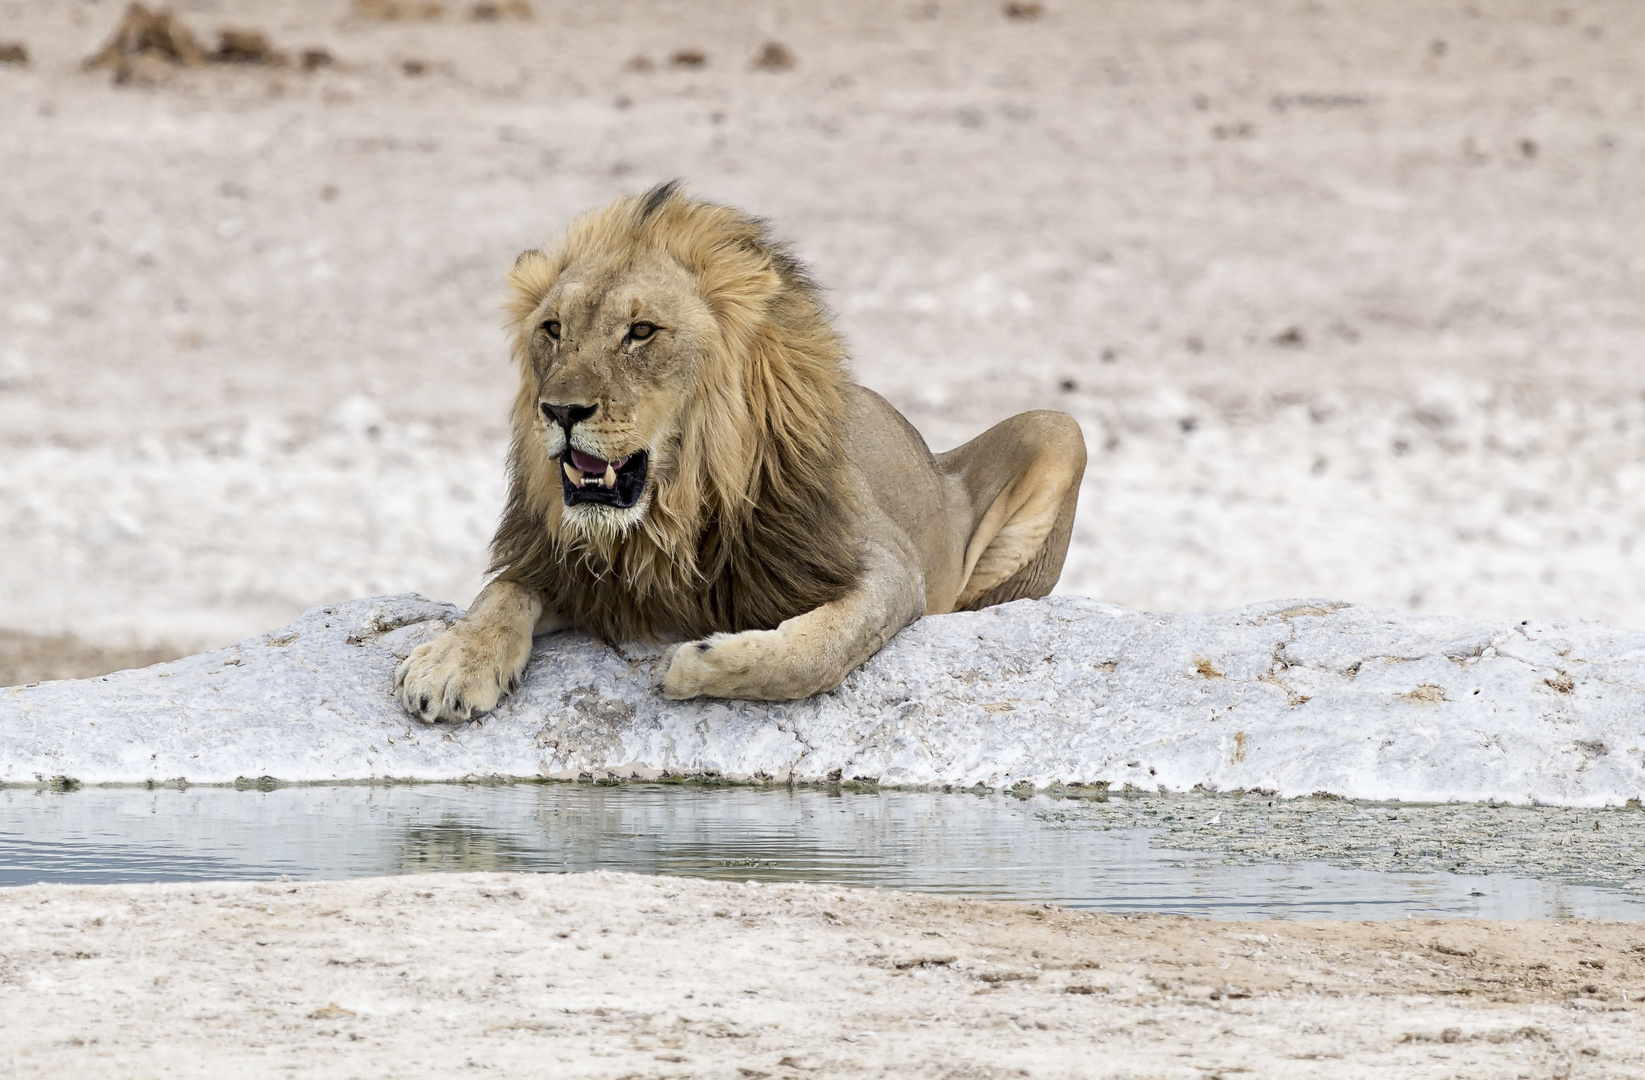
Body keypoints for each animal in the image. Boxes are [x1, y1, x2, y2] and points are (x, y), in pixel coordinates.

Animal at [396, 185, 1085, 720]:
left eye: (640, 332)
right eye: (553, 329)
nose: (560, 411)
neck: (672, 511)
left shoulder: (887, 565)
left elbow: (817, 651)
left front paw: (697, 665)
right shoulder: (584, 579)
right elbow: (500, 594)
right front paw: (452, 663)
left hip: (1060, 428)